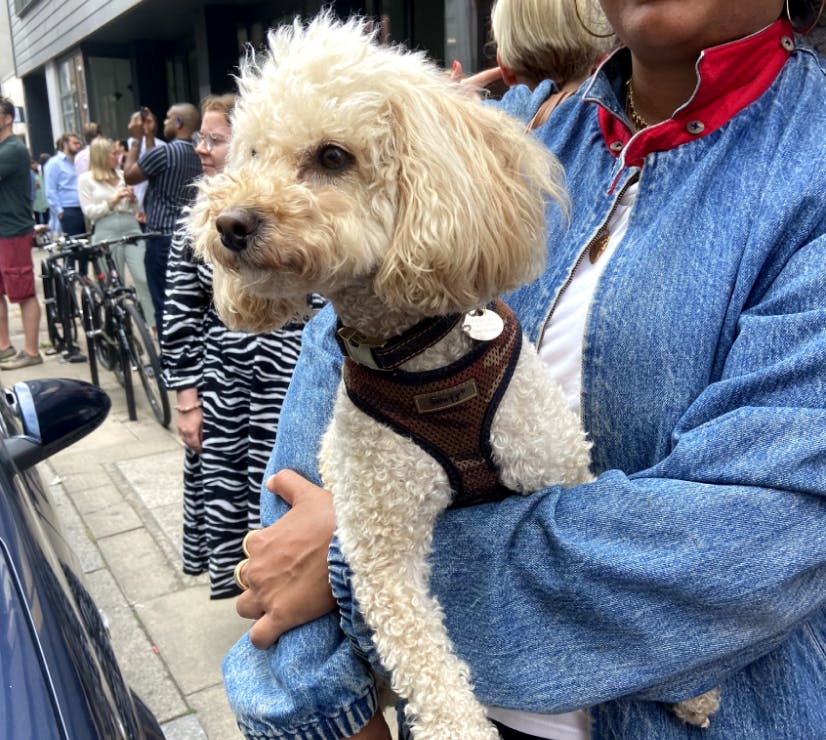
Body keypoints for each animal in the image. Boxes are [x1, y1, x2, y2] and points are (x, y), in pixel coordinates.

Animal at [190, 13, 716, 740]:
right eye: (252, 155)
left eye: (333, 157)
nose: (229, 224)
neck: (420, 361)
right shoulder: (380, 552)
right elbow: (426, 666)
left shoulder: (556, 468)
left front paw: (695, 689)